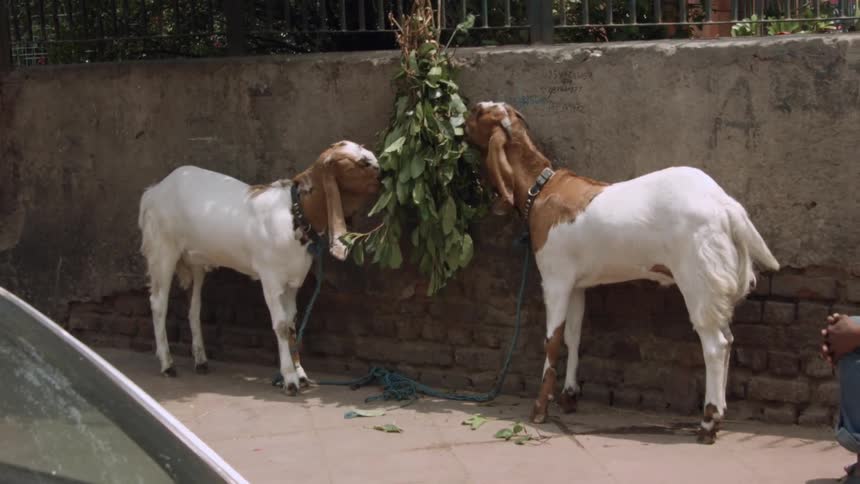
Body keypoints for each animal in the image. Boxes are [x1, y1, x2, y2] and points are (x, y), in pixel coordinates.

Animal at [138, 141, 380, 394]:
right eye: (360, 162)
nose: (383, 176)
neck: (295, 214)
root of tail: (153, 191)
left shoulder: (292, 283)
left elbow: (292, 324)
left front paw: (301, 375)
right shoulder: (270, 279)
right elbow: (281, 325)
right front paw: (290, 380)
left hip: (195, 262)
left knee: (194, 308)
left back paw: (201, 361)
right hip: (163, 252)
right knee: (158, 303)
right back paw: (167, 364)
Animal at [465, 101, 779, 444]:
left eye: (479, 114)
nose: (464, 115)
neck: (542, 187)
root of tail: (726, 206)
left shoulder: (555, 279)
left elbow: (552, 339)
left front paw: (539, 409)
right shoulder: (577, 284)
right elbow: (574, 335)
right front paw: (569, 396)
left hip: (697, 279)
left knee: (715, 345)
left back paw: (709, 422)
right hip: (714, 285)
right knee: (728, 339)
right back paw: (719, 414)